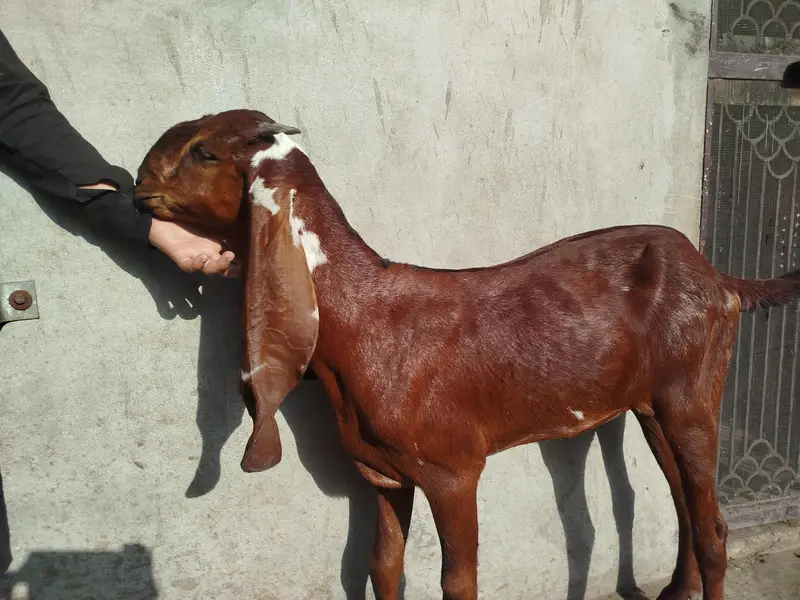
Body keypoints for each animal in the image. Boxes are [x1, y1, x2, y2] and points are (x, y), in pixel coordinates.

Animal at [134, 109, 800, 600]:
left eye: (204, 152)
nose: (139, 184)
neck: (366, 314)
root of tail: (717, 278)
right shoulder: (382, 471)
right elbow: (382, 567)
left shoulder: (452, 469)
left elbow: (458, 580)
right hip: (649, 401)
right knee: (686, 506)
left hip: (694, 390)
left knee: (711, 529)